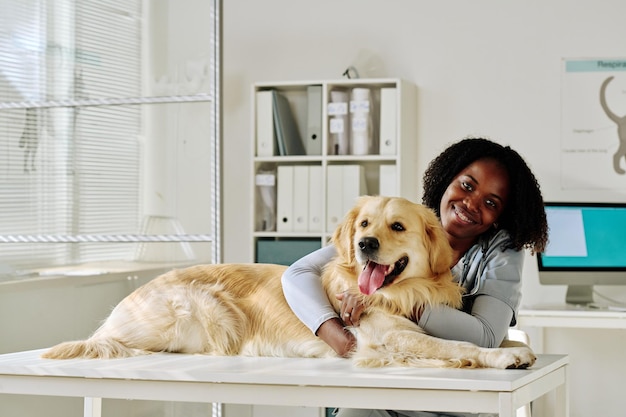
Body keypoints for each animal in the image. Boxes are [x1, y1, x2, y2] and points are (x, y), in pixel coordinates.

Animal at [41, 195, 532, 368]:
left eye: (397, 226)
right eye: (365, 224)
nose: (365, 244)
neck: (403, 293)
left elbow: (493, 336)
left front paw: (514, 347)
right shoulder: (389, 337)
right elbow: (458, 344)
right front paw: (499, 358)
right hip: (204, 309)